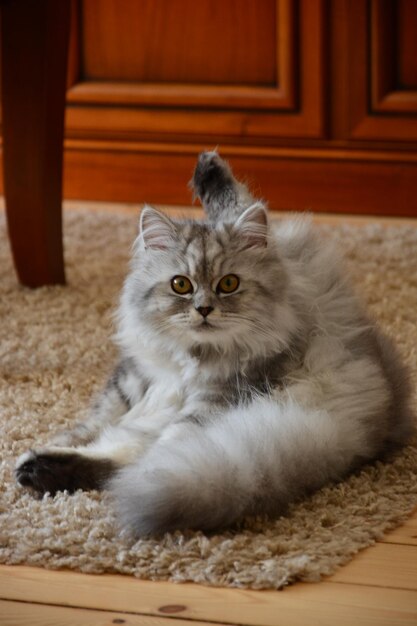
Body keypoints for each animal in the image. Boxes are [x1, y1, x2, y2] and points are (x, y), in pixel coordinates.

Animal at [15, 150, 412, 532]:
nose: (204, 309)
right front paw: (60, 441)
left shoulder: (209, 404)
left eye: (228, 284)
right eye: (180, 285)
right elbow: (92, 425)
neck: (188, 359)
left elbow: (126, 450)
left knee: (133, 468)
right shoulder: (131, 383)